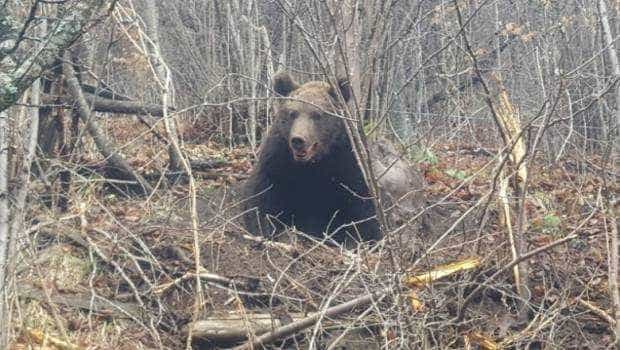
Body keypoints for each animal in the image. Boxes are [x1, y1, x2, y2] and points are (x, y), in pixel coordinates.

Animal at [240, 72, 380, 242]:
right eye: (292, 113)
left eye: (317, 114)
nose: (298, 140)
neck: (313, 164)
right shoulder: (277, 159)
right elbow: (260, 196)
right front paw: (265, 229)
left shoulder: (348, 162)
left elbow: (362, 208)